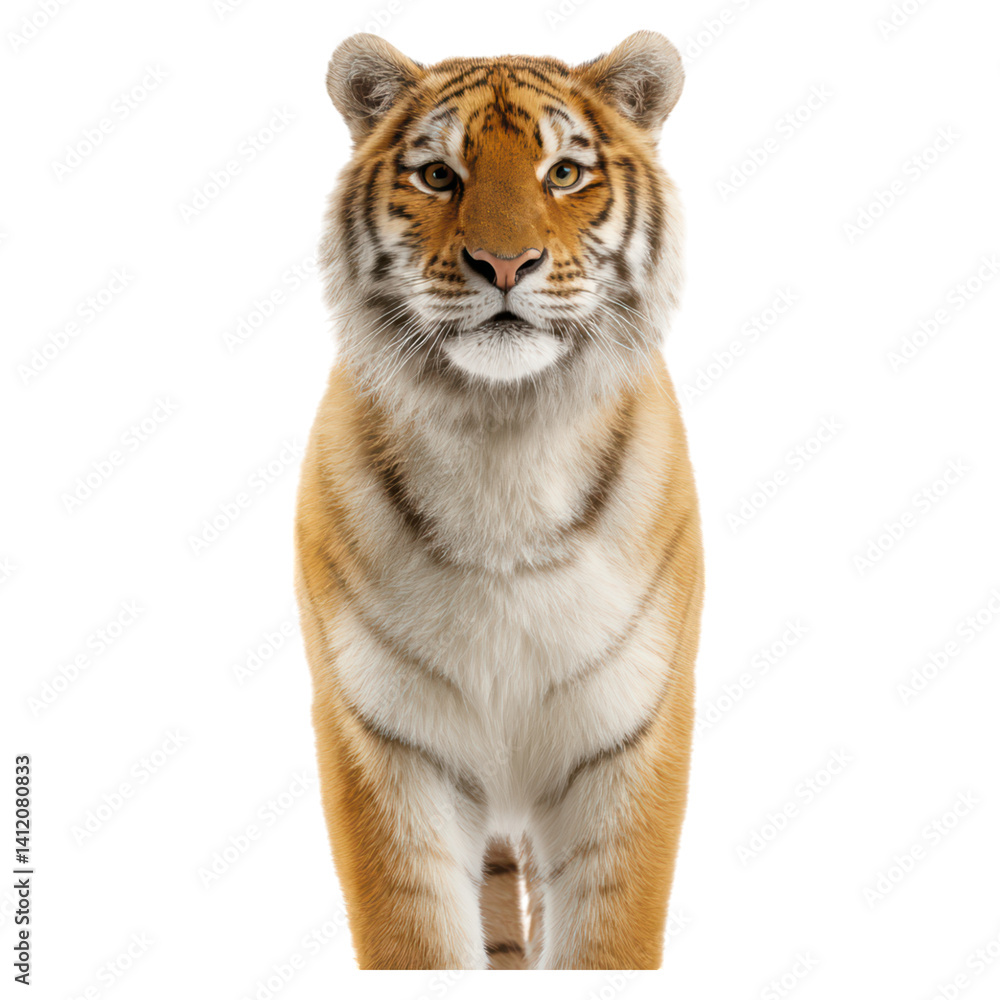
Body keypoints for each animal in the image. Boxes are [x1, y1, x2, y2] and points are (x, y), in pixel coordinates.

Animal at [294, 29, 703, 970]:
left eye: (564, 173)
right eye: (439, 175)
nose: (505, 264)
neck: (503, 434)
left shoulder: (632, 734)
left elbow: (607, 941)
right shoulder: (382, 743)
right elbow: (416, 940)